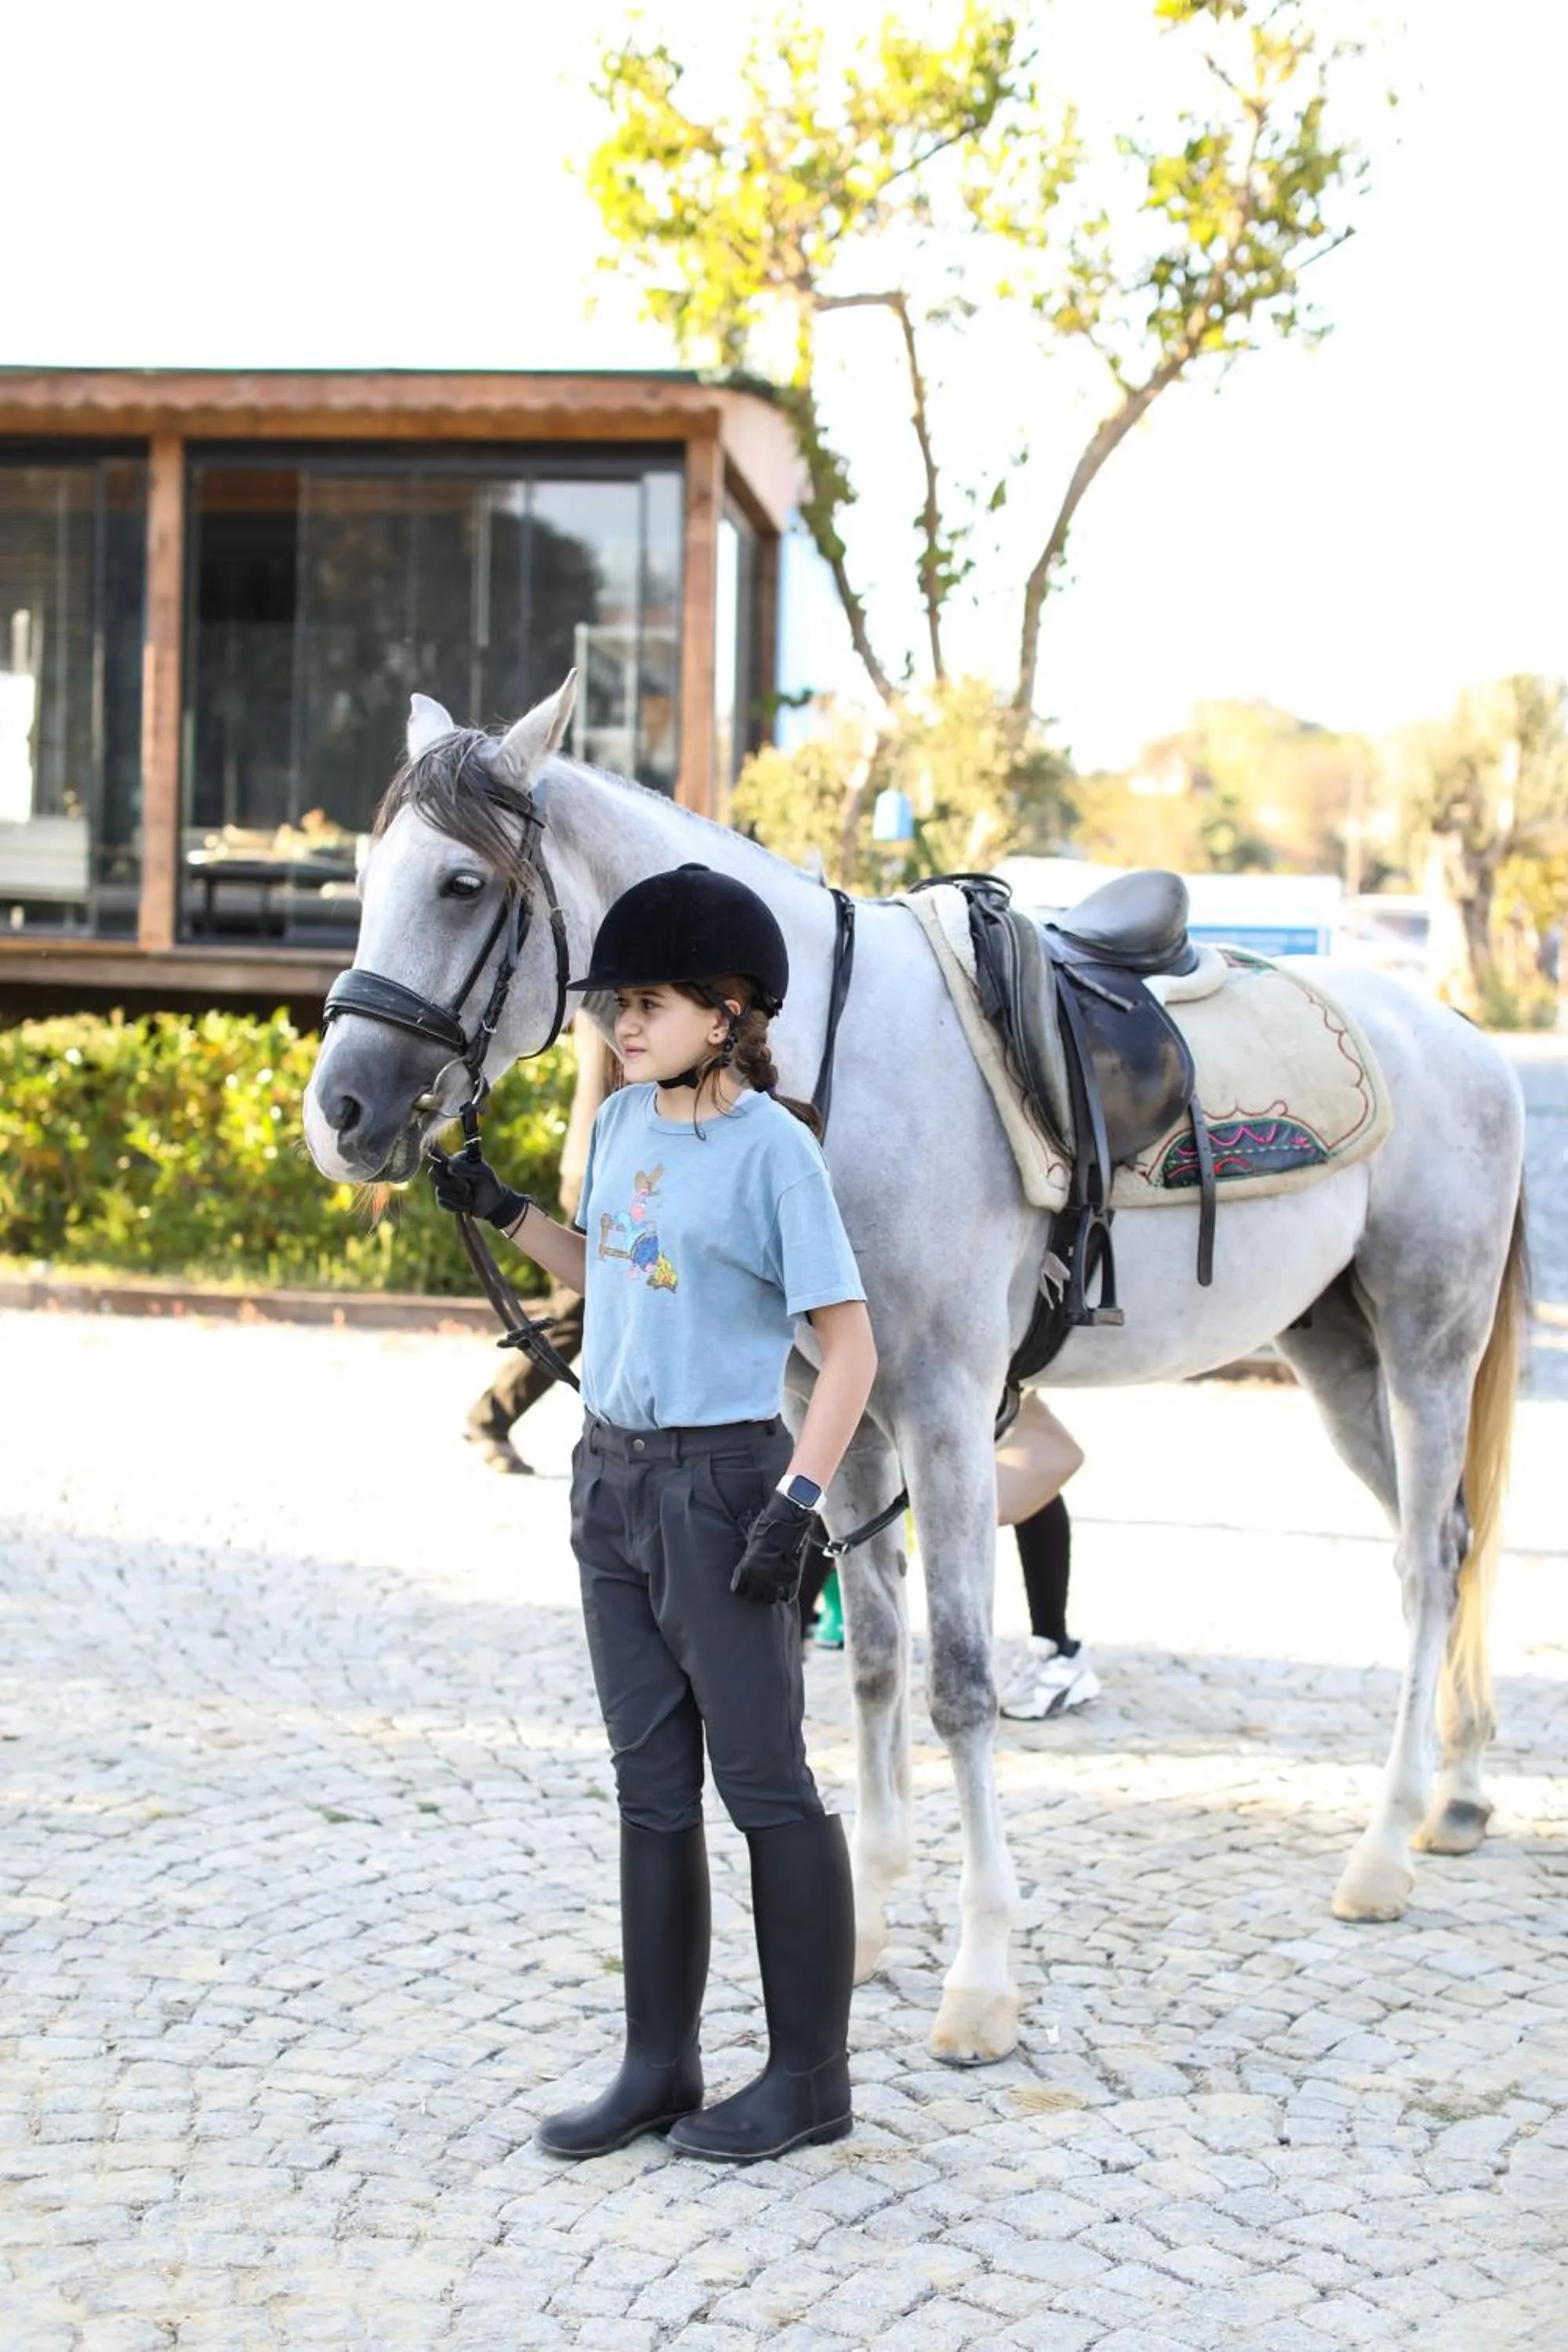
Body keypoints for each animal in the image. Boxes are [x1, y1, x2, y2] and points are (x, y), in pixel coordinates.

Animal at [303, 678, 1528, 2067]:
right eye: (366, 877)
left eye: (461, 883)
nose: (339, 1113)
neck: (819, 1077)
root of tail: (1467, 1038)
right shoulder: (828, 1416)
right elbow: (877, 1658)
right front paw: (871, 1929)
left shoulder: (944, 1412)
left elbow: (960, 1686)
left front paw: (981, 1982)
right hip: (1338, 1357)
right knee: (1453, 1544)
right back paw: (1458, 1793)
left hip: (1428, 1348)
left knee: (1426, 1564)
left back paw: (1382, 1849)